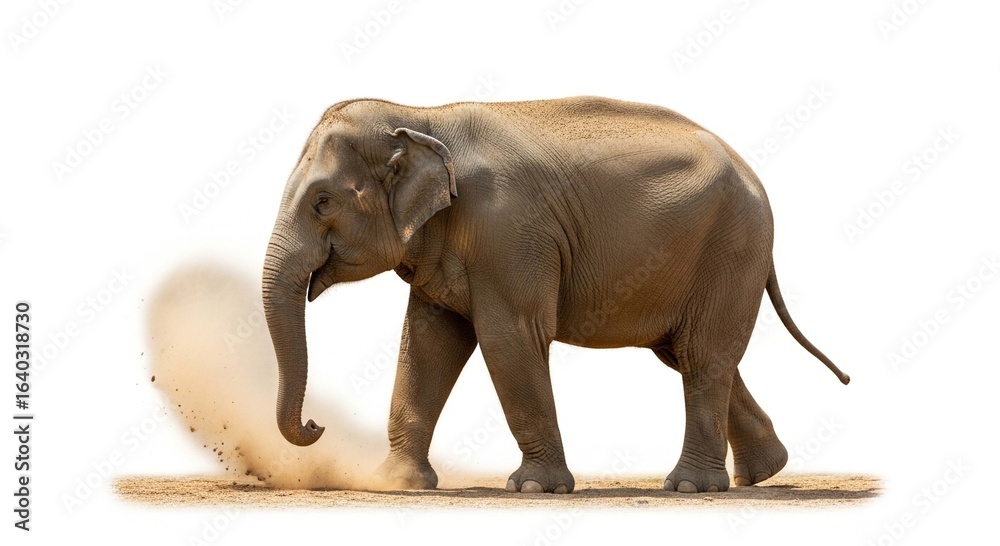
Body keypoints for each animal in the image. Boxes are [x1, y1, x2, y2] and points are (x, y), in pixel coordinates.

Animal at [261, 96, 849, 495]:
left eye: (321, 201)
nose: (315, 424)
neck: (422, 115)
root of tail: (753, 173)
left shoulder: (508, 231)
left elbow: (509, 338)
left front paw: (532, 488)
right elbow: (427, 344)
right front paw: (394, 484)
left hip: (732, 247)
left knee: (703, 355)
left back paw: (689, 487)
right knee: (689, 354)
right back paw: (763, 472)